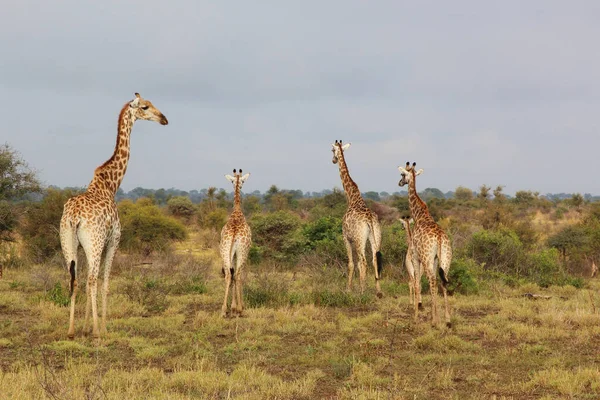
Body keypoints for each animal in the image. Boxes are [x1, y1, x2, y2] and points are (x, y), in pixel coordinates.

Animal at [60, 93, 168, 338]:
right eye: (145, 107)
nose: (164, 119)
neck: (110, 184)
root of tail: (74, 217)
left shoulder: (90, 245)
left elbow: (88, 280)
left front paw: (85, 326)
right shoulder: (113, 240)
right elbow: (106, 282)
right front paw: (101, 327)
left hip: (68, 242)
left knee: (74, 280)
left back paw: (70, 331)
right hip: (94, 242)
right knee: (91, 280)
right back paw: (97, 332)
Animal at [330, 141, 382, 296]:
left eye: (332, 150)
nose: (333, 160)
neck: (352, 198)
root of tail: (369, 220)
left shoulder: (346, 238)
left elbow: (351, 263)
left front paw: (349, 289)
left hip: (360, 239)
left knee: (363, 261)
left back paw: (363, 291)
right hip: (375, 236)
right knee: (374, 259)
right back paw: (378, 291)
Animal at [398, 162, 450, 328]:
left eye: (402, 174)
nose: (399, 183)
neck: (419, 214)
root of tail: (439, 238)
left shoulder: (415, 256)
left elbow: (417, 283)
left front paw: (415, 316)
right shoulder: (434, 259)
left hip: (426, 259)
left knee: (432, 280)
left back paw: (435, 321)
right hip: (445, 259)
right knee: (443, 281)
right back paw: (447, 320)